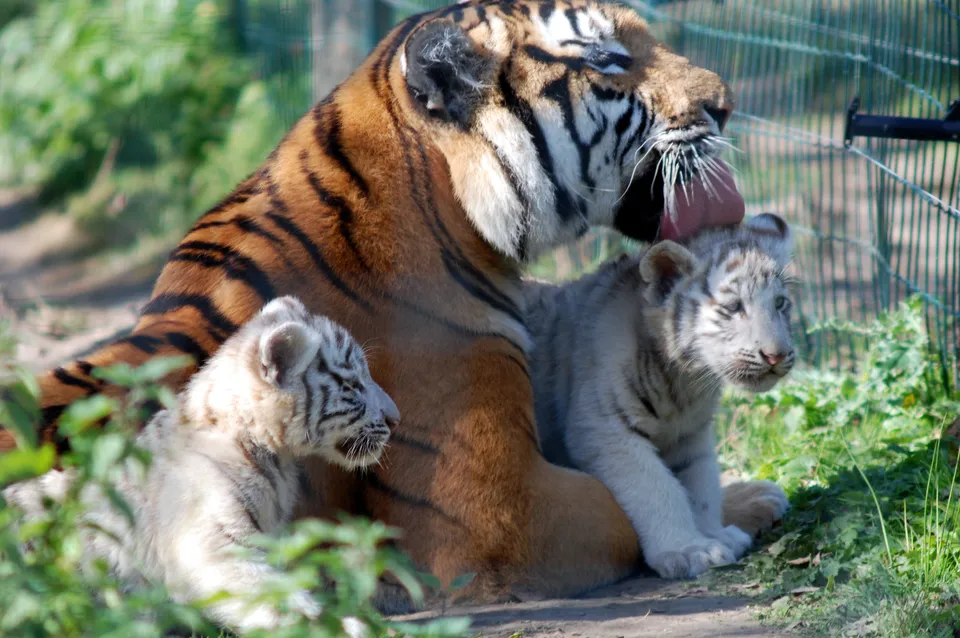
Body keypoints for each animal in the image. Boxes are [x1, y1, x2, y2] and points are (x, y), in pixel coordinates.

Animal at [3, 296, 395, 635]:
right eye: (351, 385)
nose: (396, 419)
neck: (273, 455)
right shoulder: (216, 549)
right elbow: (283, 599)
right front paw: (354, 627)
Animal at [524, 213, 795, 579]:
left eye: (780, 303)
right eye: (733, 307)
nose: (776, 356)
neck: (685, 381)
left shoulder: (691, 435)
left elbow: (700, 485)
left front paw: (712, 534)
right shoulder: (606, 428)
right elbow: (656, 487)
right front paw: (689, 549)